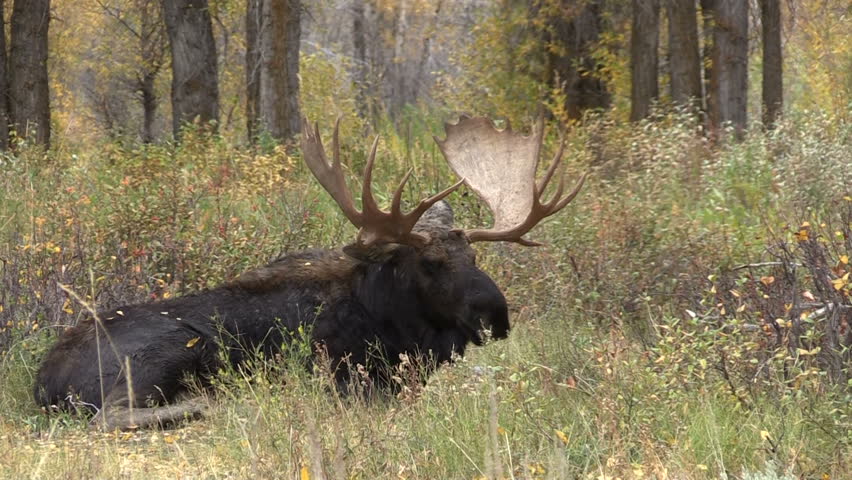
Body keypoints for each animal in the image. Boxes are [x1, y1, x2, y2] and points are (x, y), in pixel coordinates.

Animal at [31, 114, 584, 430]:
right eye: (431, 264)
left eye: (475, 259)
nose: (497, 315)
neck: (395, 322)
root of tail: (43, 384)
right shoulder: (349, 378)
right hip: (168, 347)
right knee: (111, 414)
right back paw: (216, 404)